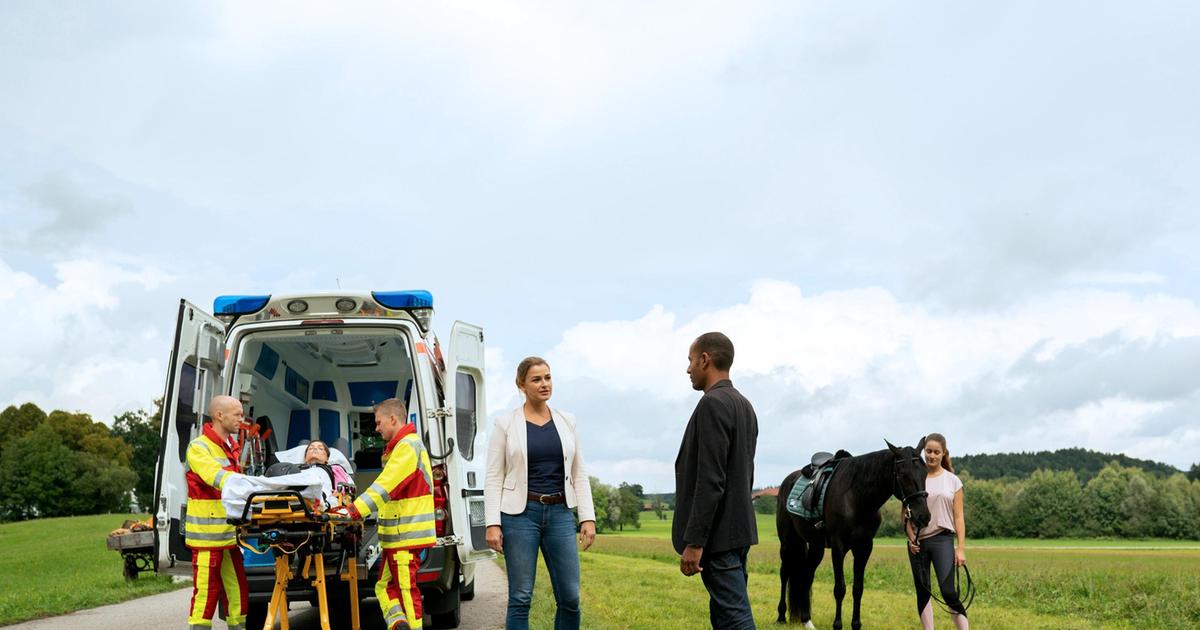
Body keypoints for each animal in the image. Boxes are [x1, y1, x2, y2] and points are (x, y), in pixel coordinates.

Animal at [772, 436, 931, 628]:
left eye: (925, 473)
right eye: (904, 475)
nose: (923, 516)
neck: (857, 497)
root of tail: (788, 480)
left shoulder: (864, 547)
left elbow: (858, 588)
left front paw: (856, 624)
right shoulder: (838, 547)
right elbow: (840, 589)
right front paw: (837, 625)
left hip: (816, 546)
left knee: (806, 575)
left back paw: (806, 620)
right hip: (788, 542)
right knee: (785, 573)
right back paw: (781, 616)